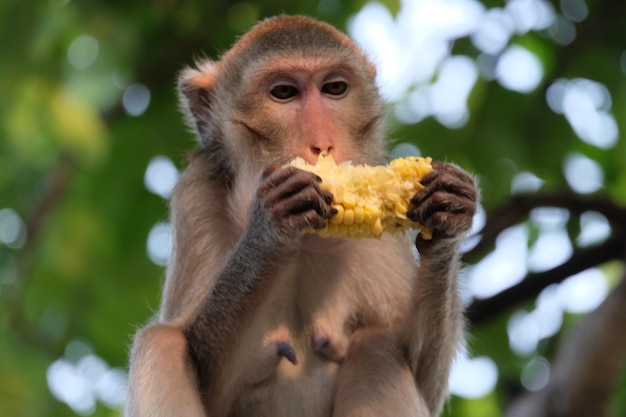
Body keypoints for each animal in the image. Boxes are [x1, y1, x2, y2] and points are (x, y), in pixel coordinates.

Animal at [125, 14, 478, 416]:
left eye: (335, 88)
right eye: (284, 93)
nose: (322, 145)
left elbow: (428, 382)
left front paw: (449, 214)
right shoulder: (195, 196)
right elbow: (206, 372)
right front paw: (269, 229)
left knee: (376, 346)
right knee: (159, 343)